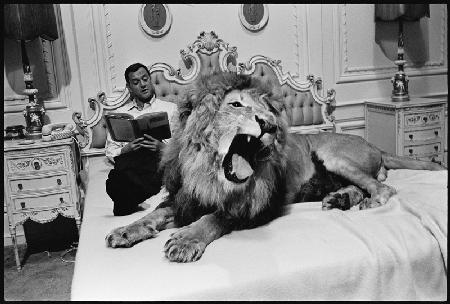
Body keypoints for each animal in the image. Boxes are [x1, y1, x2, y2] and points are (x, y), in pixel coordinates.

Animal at [106, 70, 446, 262]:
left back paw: (367, 202)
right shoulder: (182, 198)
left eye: (268, 110)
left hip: (333, 156)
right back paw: (339, 199)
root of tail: (375, 146)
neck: (209, 172)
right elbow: (153, 214)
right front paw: (125, 230)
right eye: (236, 105)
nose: (269, 125)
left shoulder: (254, 207)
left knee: (383, 187)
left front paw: (186, 239)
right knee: (362, 186)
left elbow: (213, 219)